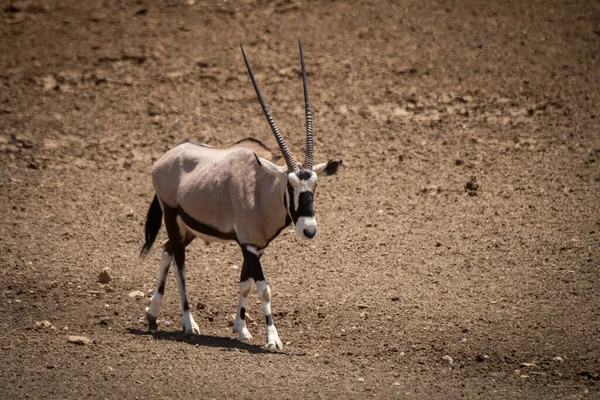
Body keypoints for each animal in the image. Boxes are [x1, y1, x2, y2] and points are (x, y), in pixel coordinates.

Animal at [140, 39, 342, 346]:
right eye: (289, 185)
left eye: (315, 186)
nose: (309, 230)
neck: (262, 188)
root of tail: (164, 159)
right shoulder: (247, 243)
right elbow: (263, 288)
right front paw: (272, 338)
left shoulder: (257, 246)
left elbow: (245, 284)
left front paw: (241, 328)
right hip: (172, 217)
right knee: (180, 265)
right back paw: (188, 323)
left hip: (188, 227)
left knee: (166, 251)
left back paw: (152, 313)